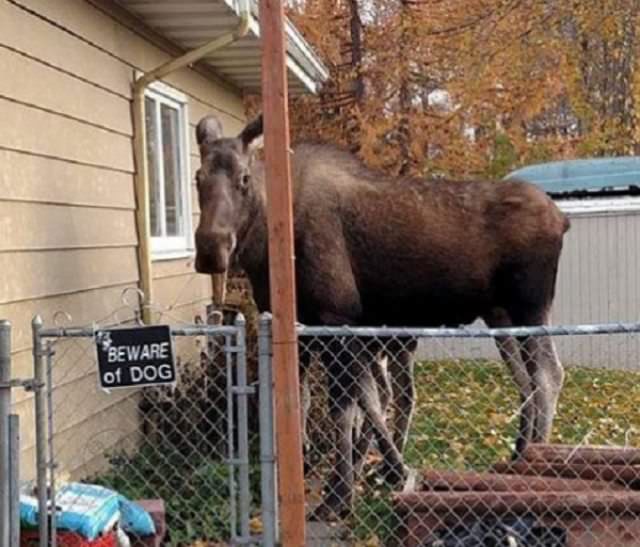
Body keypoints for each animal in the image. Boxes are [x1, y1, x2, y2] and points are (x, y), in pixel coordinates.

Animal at [194, 114, 568, 520]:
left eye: (244, 178)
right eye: (197, 177)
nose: (210, 248)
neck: (267, 246)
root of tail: (561, 219)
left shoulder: (336, 318)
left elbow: (346, 408)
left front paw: (340, 495)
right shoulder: (307, 329)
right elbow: (320, 400)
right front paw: (362, 469)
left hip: (531, 306)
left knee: (548, 375)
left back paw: (535, 465)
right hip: (501, 317)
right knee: (526, 381)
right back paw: (518, 454)